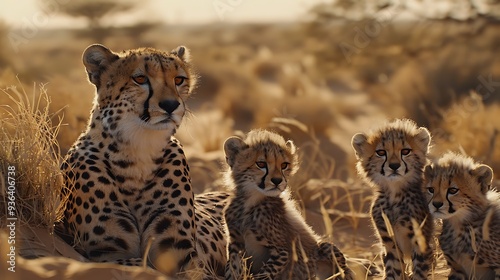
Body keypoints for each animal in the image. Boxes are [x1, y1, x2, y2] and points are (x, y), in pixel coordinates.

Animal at [225, 130, 354, 278]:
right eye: (261, 164)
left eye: (284, 165)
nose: (277, 180)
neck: (251, 201)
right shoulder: (235, 243)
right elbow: (231, 268)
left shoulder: (282, 251)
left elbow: (265, 274)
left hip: (324, 247)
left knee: (344, 270)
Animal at [352, 119, 434, 280]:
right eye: (381, 152)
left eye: (405, 151)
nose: (394, 165)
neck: (395, 194)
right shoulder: (389, 241)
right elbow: (393, 269)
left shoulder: (421, 243)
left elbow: (419, 272)